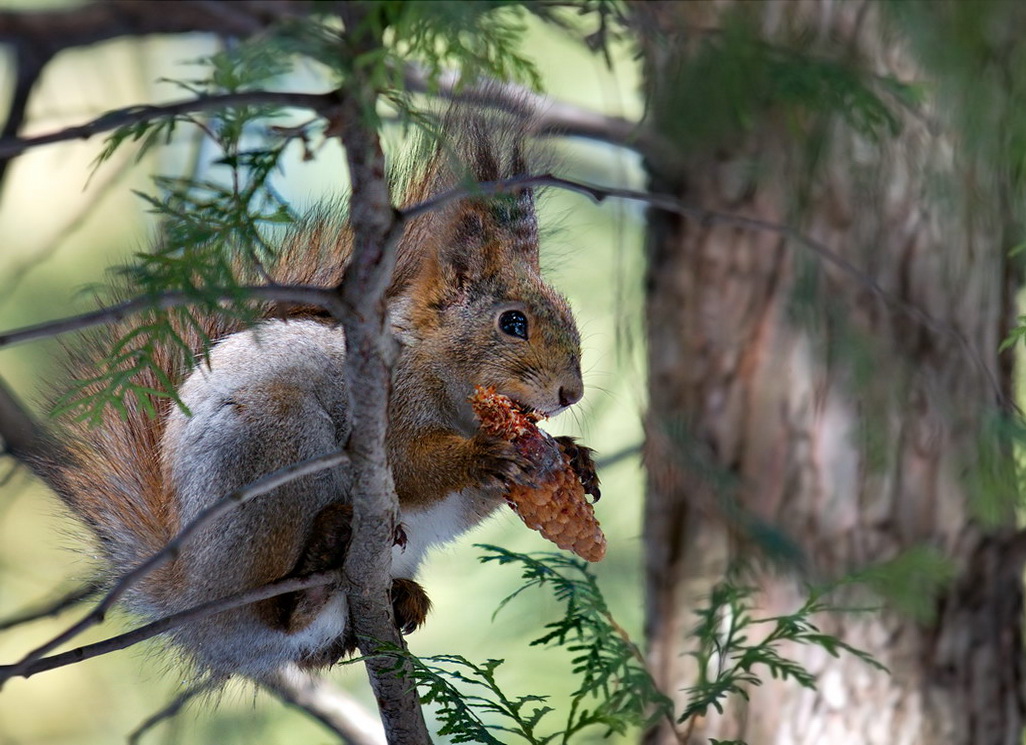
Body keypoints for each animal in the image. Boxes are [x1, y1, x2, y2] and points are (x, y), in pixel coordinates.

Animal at [42, 105, 595, 681]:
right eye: (513, 323)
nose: (572, 393)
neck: (440, 377)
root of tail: (196, 610)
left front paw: (572, 458)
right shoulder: (385, 410)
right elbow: (410, 466)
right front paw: (484, 453)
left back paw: (398, 597)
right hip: (274, 453)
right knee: (278, 609)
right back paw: (321, 557)